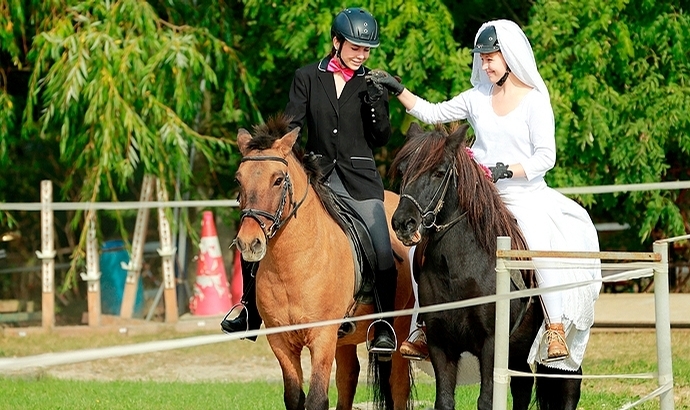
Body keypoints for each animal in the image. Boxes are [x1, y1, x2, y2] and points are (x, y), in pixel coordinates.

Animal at [231, 115, 414, 410]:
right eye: (239, 180)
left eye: (278, 180)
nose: (249, 243)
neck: (293, 263)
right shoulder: (280, 340)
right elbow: (295, 397)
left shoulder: (322, 336)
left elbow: (317, 399)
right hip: (345, 339)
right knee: (348, 378)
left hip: (399, 326)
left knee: (398, 386)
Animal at [390, 124, 576, 410]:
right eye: (402, 170)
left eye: (439, 172)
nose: (403, 223)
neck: (458, 271)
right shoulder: (440, 345)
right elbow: (444, 401)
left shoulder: (491, 345)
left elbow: (486, 400)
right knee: (522, 388)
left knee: (567, 388)